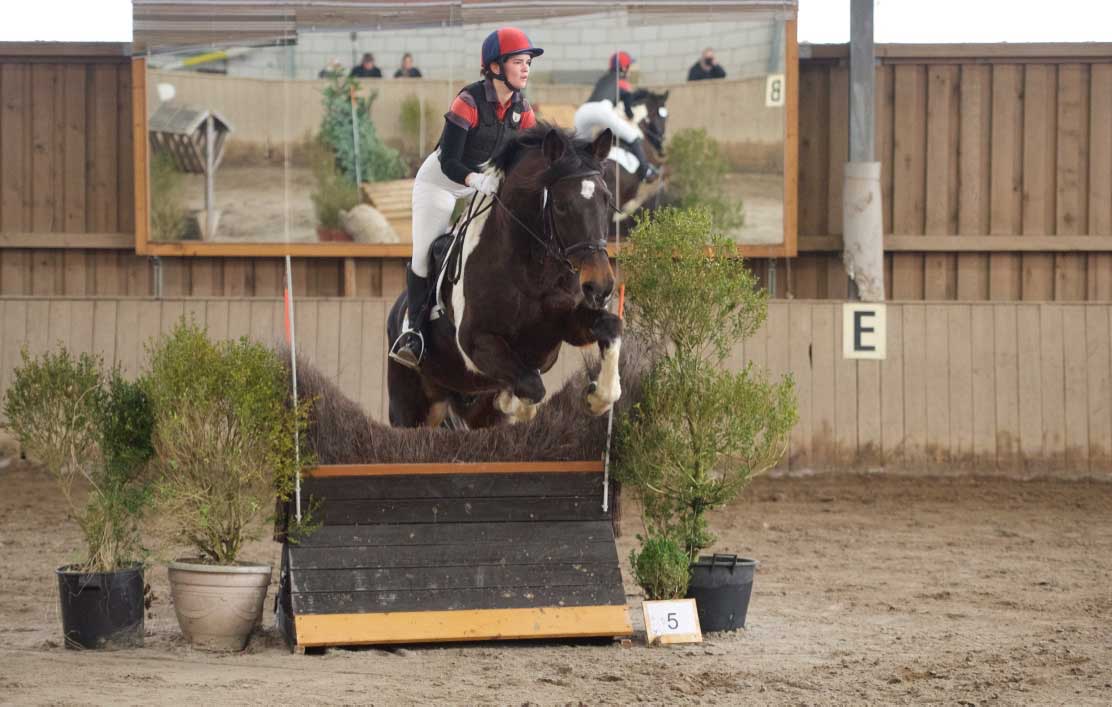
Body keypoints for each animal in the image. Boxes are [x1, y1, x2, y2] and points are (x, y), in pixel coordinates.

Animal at [386, 124, 622, 429]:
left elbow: (610, 326)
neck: (531, 272)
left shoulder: (566, 324)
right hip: (408, 409)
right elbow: (531, 387)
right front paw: (513, 402)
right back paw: (410, 344)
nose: (600, 287)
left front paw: (597, 398)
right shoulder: (475, 341)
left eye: (607, 200)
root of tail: (396, 309)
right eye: (560, 205)